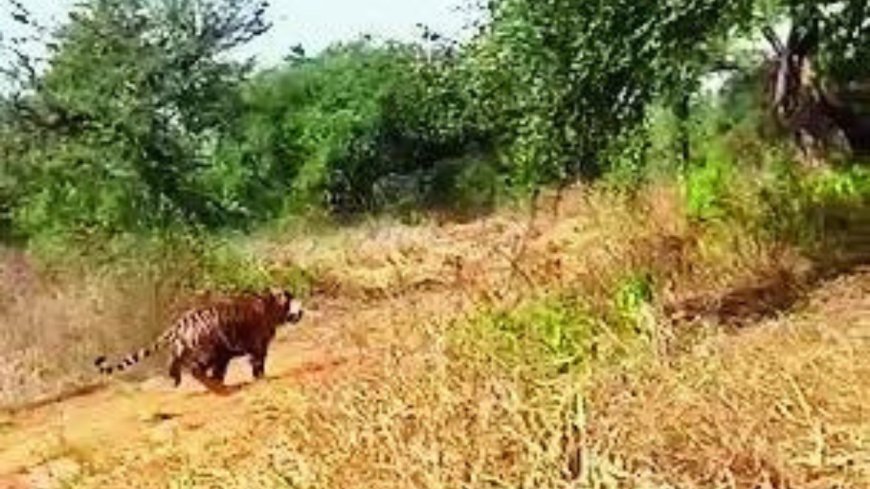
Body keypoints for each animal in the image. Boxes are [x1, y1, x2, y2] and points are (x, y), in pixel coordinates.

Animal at [94, 288, 304, 393]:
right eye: (291, 299)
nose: (301, 311)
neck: (271, 307)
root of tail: (179, 324)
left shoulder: (224, 356)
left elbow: (221, 371)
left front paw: (220, 381)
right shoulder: (258, 346)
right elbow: (258, 365)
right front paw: (262, 379)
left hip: (190, 349)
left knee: (174, 364)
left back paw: (179, 380)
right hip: (207, 352)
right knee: (195, 370)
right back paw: (215, 387)